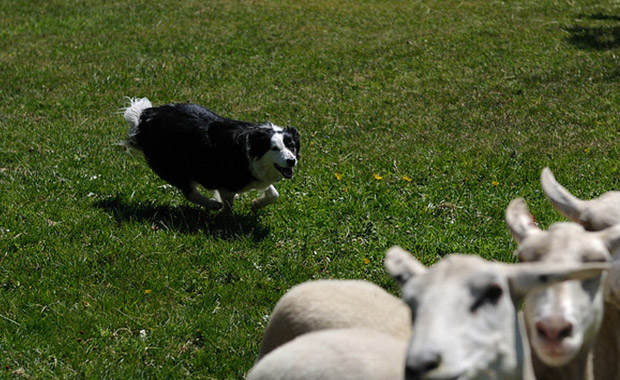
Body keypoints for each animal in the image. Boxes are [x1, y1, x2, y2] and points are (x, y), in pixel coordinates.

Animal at [121, 98, 300, 211]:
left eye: (291, 146)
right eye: (274, 148)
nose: (291, 161)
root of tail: (147, 115)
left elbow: (274, 194)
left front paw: (256, 204)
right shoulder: (226, 181)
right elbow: (228, 205)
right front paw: (226, 218)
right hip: (173, 165)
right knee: (189, 192)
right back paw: (212, 204)